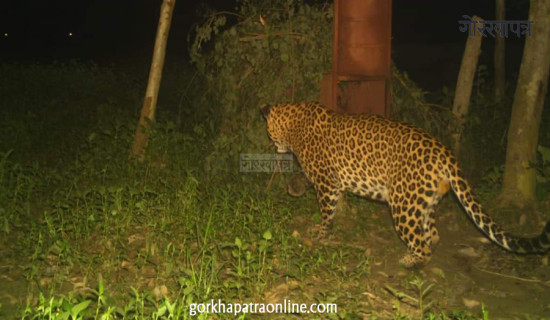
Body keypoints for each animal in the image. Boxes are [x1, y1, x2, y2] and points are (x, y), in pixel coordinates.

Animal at [262, 102, 550, 268]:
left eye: (269, 132)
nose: (274, 146)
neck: (295, 121)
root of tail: (444, 152)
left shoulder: (327, 182)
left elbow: (326, 211)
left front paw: (320, 233)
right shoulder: (329, 179)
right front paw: (294, 187)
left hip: (402, 205)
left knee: (421, 243)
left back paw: (410, 261)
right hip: (425, 200)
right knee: (433, 233)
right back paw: (424, 249)